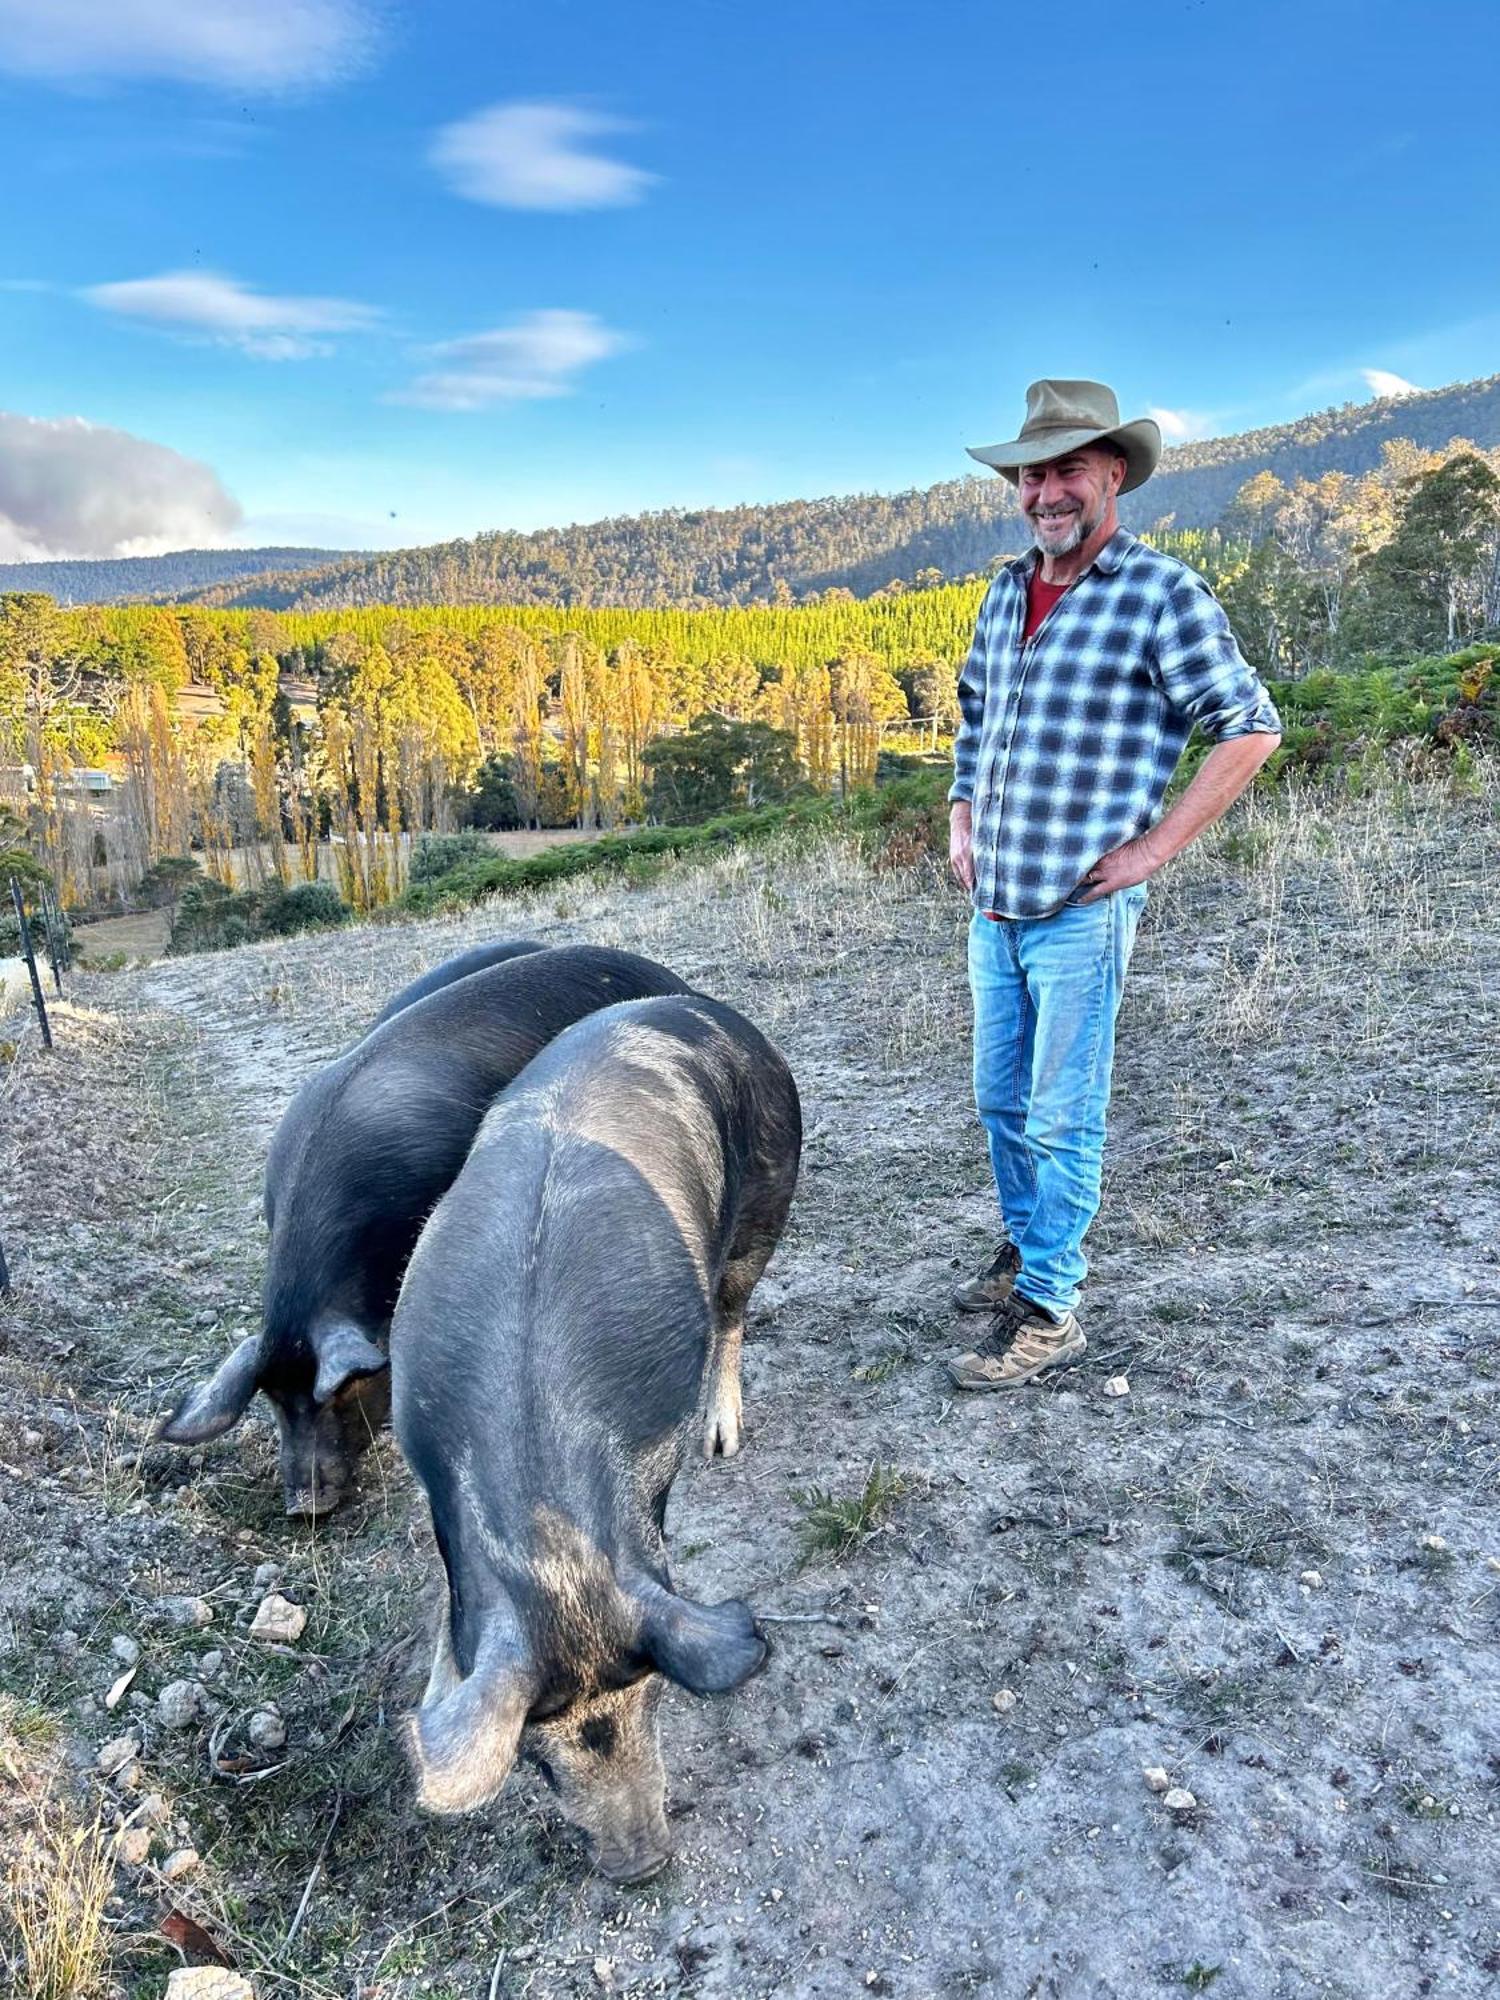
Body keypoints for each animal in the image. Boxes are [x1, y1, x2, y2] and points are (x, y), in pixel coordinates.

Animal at [394, 992, 804, 1880]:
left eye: (652, 1698)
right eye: (538, 1757)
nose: (641, 1867)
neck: (548, 1532)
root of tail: (706, 1007)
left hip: (767, 1197)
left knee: (734, 1312)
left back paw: (724, 1440)